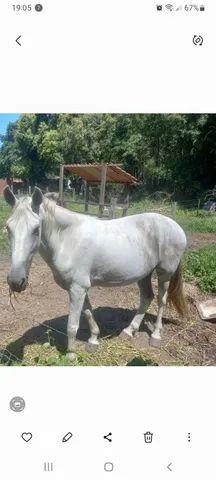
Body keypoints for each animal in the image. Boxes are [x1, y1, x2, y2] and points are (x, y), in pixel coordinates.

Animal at [2, 188, 187, 360]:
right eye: (8, 228)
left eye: (36, 229)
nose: (15, 282)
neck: (67, 240)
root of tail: (175, 226)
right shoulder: (78, 288)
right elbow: (88, 313)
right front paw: (93, 340)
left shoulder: (78, 289)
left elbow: (72, 325)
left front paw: (71, 355)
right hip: (144, 274)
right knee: (146, 298)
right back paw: (128, 331)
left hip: (164, 273)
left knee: (161, 300)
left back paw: (155, 335)